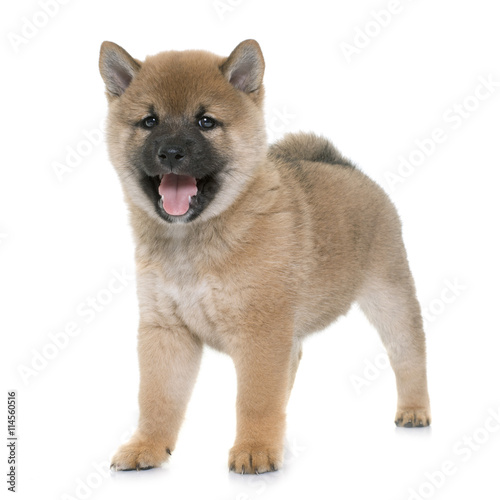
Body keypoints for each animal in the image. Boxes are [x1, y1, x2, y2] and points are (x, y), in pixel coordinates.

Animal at [99, 39, 431, 474]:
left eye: (205, 121)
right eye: (149, 121)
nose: (170, 152)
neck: (195, 240)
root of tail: (347, 167)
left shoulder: (261, 331)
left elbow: (254, 399)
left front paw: (254, 449)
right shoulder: (166, 330)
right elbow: (157, 399)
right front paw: (148, 447)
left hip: (390, 298)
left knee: (409, 356)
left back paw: (414, 410)